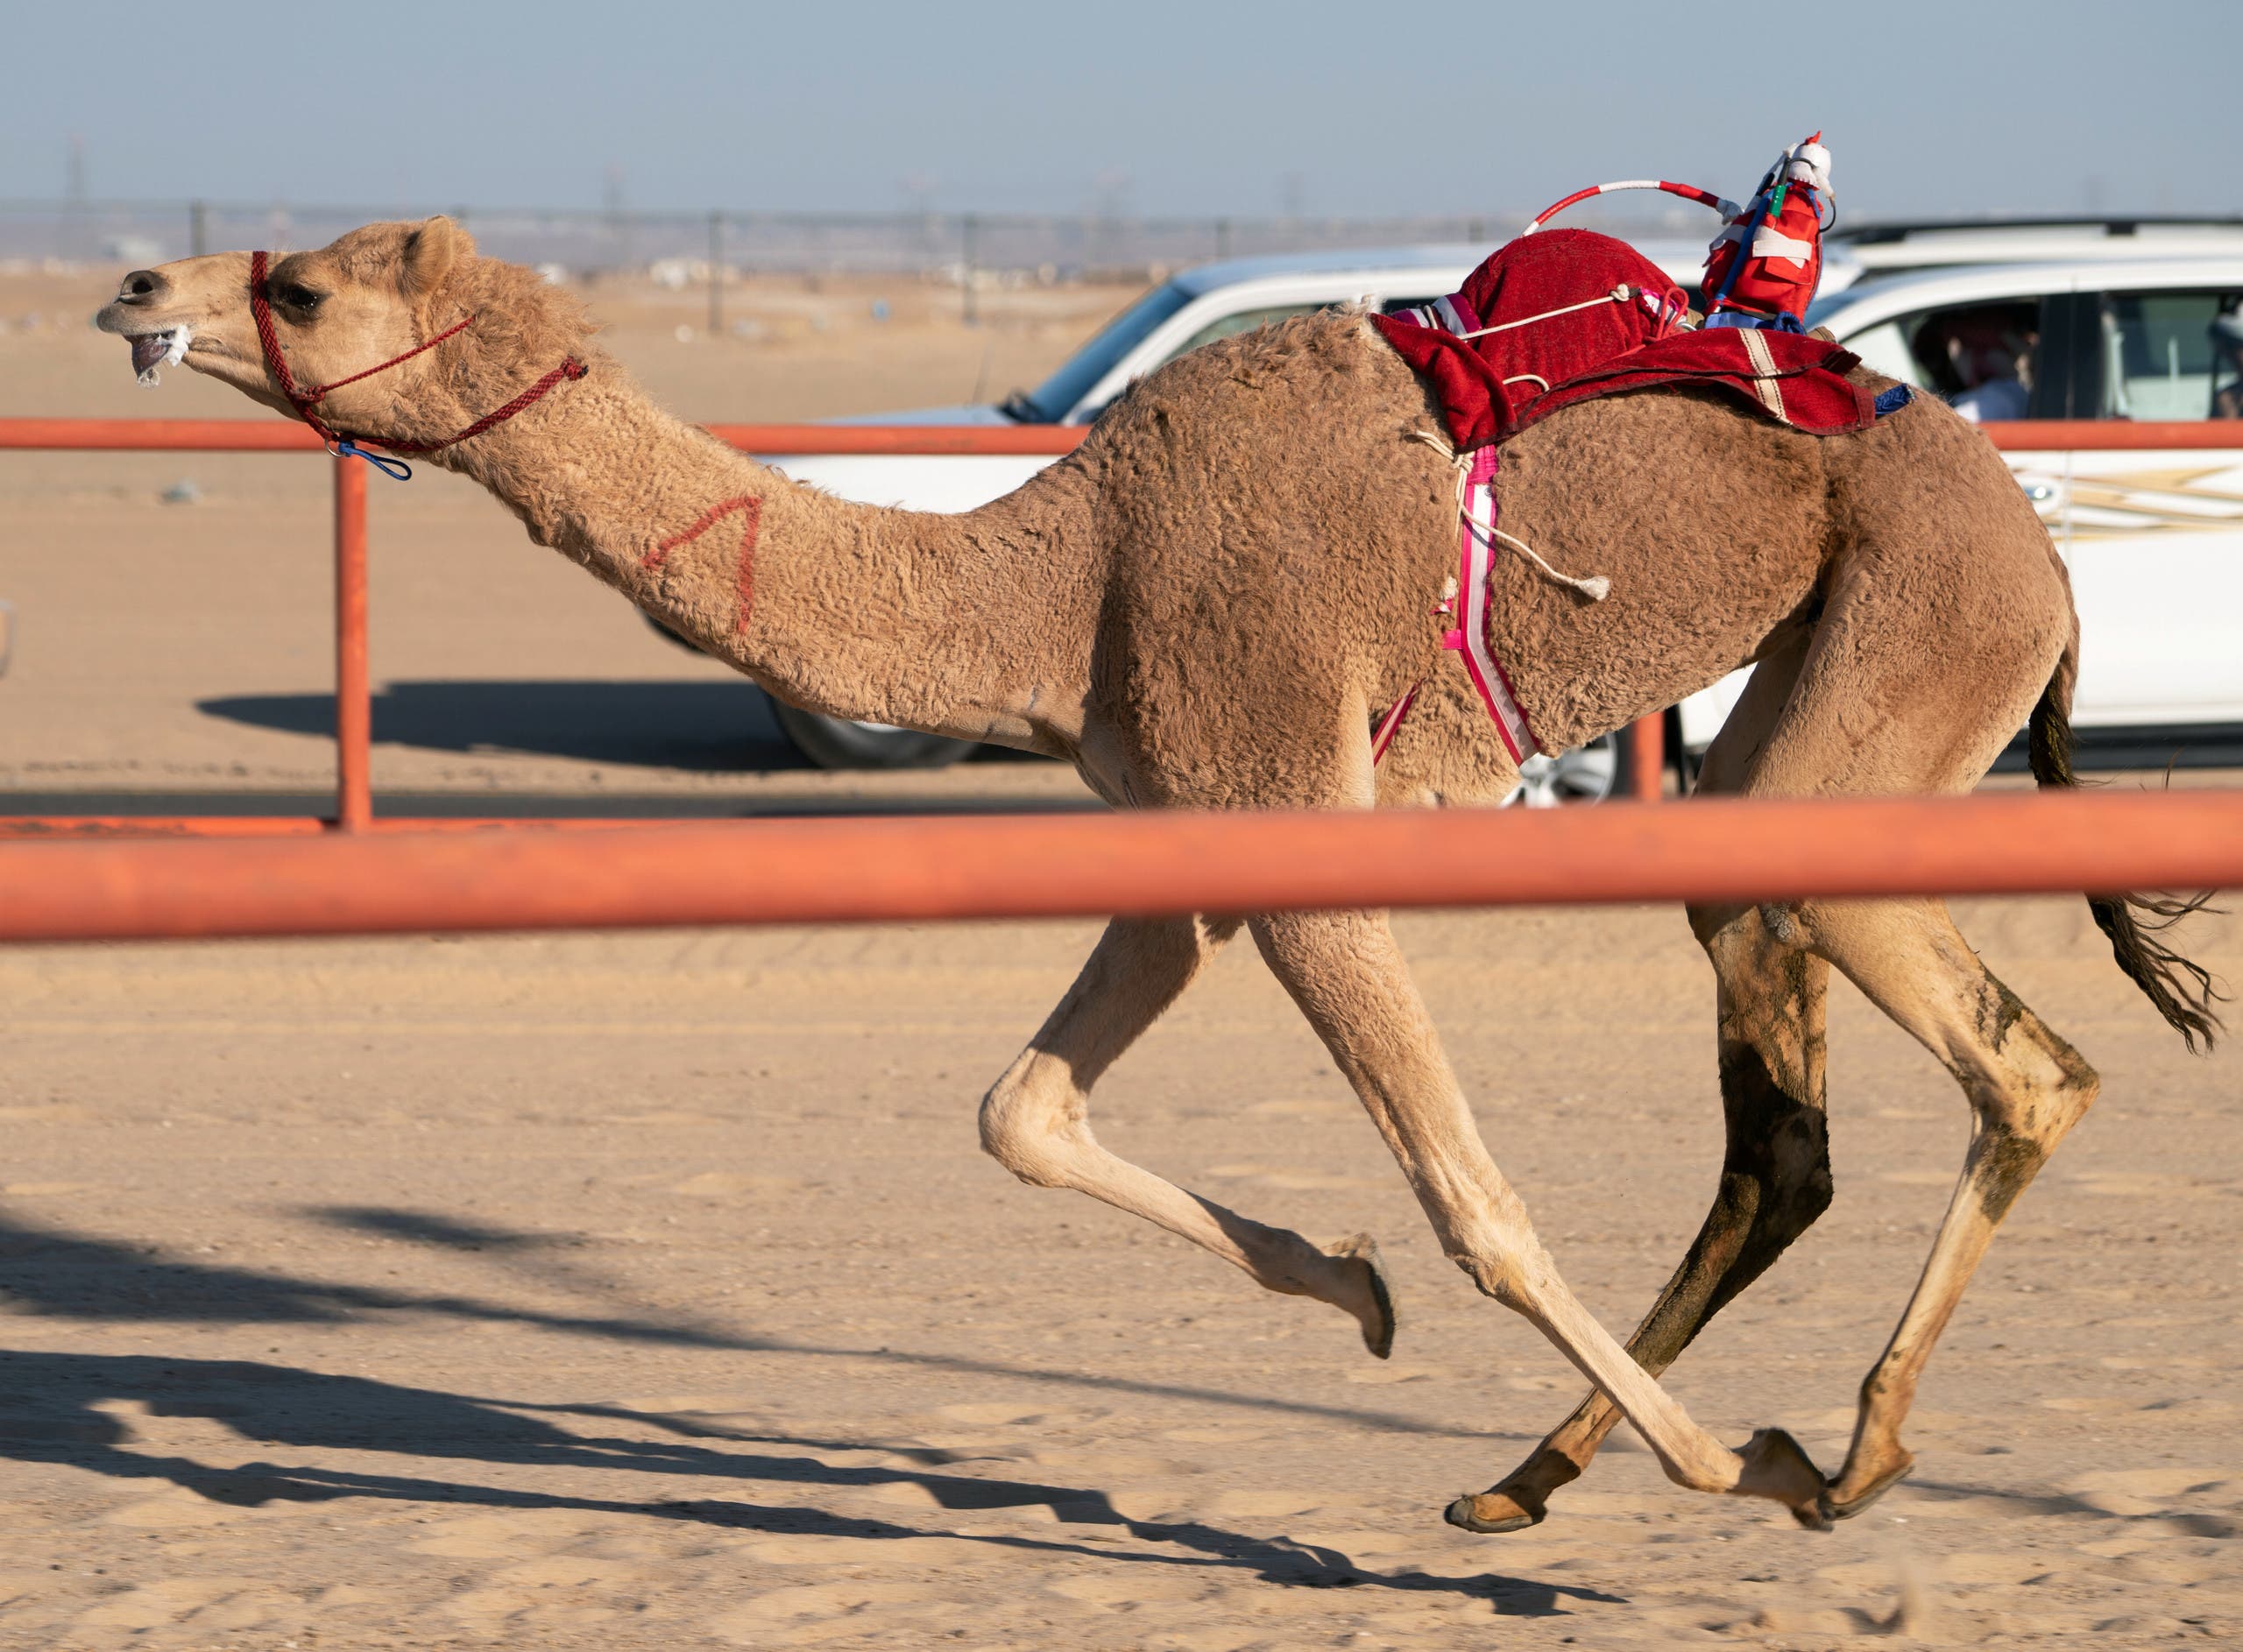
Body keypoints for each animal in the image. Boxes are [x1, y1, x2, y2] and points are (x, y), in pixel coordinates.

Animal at [96, 219, 2216, 1533]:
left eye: (301, 282)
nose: (130, 285)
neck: (1060, 571)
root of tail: (2028, 522)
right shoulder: (1187, 840)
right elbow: (1018, 1111)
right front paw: (1348, 1294)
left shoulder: (1285, 806)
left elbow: (1476, 1197)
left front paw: (1715, 1467)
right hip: (1797, 742)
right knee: (1807, 1111)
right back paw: (1570, 1471)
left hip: (1912, 654)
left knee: (2022, 1069)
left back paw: (1820, 1454)